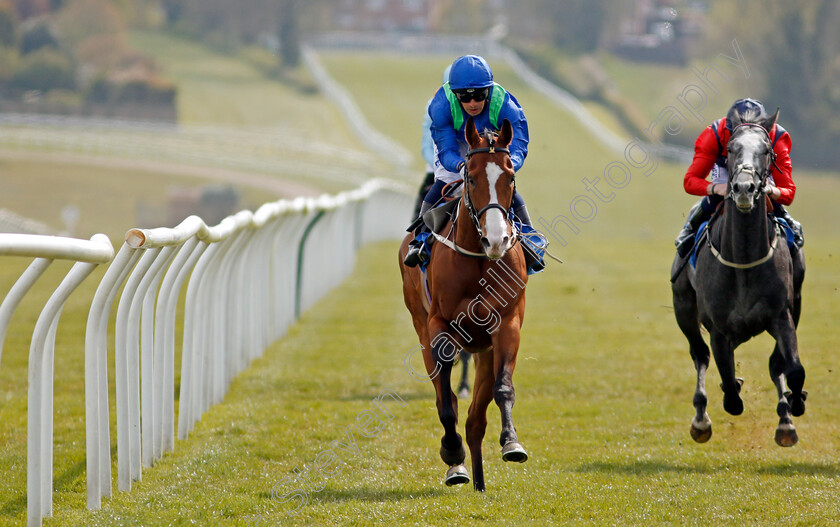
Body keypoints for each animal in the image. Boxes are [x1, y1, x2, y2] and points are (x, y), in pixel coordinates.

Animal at [398, 117, 528, 492]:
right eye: (470, 177)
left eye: (510, 177)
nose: (497, 239)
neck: (479, 259)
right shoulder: (440, 326)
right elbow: (446, 403)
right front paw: (452, 454)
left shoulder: (506, 324)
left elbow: (502, 389)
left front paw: (512, 442)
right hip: (422, 326)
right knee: (448, 399)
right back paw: (458, 465)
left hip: (484, 346)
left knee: (475, 419)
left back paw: (480, 480)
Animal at [668, 109, 808, 448]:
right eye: (730, 149)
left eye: (767, 151)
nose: (744, 188)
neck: (743, 260)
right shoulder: (718, 328)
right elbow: (730, 391)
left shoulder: (783, 315)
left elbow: (792, 368)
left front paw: (794, 405)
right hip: (683, 308)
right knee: (701, 356)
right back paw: (701, 418)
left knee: (775, 366)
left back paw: (785, 417)